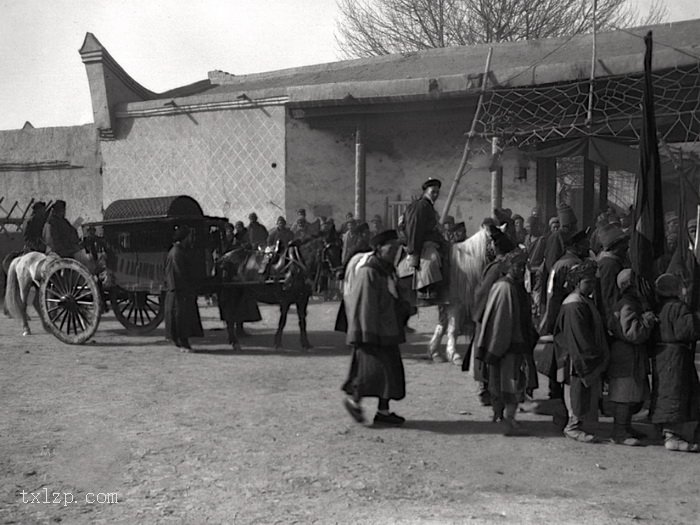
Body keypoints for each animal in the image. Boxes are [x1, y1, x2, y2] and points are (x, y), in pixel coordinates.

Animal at [430, 227, 490, 362]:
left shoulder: (446, 303)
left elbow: (442, 326)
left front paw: (435, 352)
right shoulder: (455, 304)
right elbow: (453, 328)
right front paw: (453, 354)